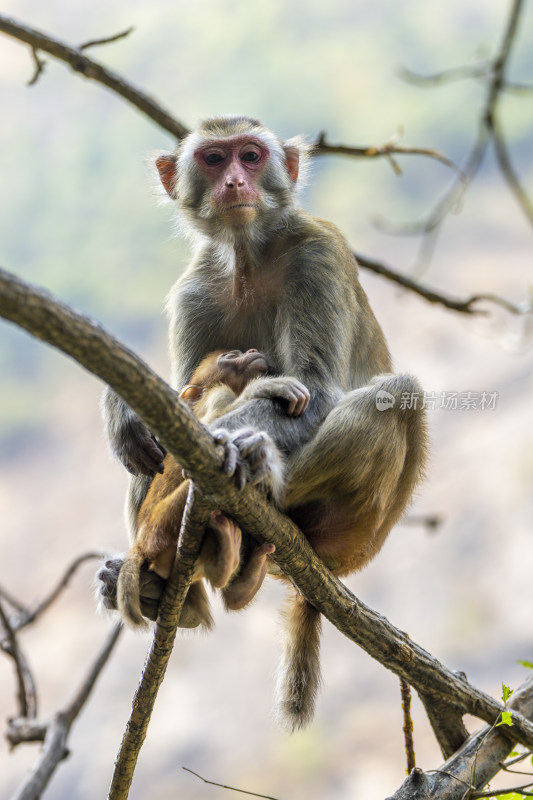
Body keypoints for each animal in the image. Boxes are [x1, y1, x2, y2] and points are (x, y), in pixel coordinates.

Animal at [116, 350, 308, 632]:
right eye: (231, 356)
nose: (251, 352)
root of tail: (140, 544)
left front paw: (262, 458)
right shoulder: (217, 394)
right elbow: (211, 431)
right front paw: (264, 387)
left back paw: (237, 577)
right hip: (159, 528)